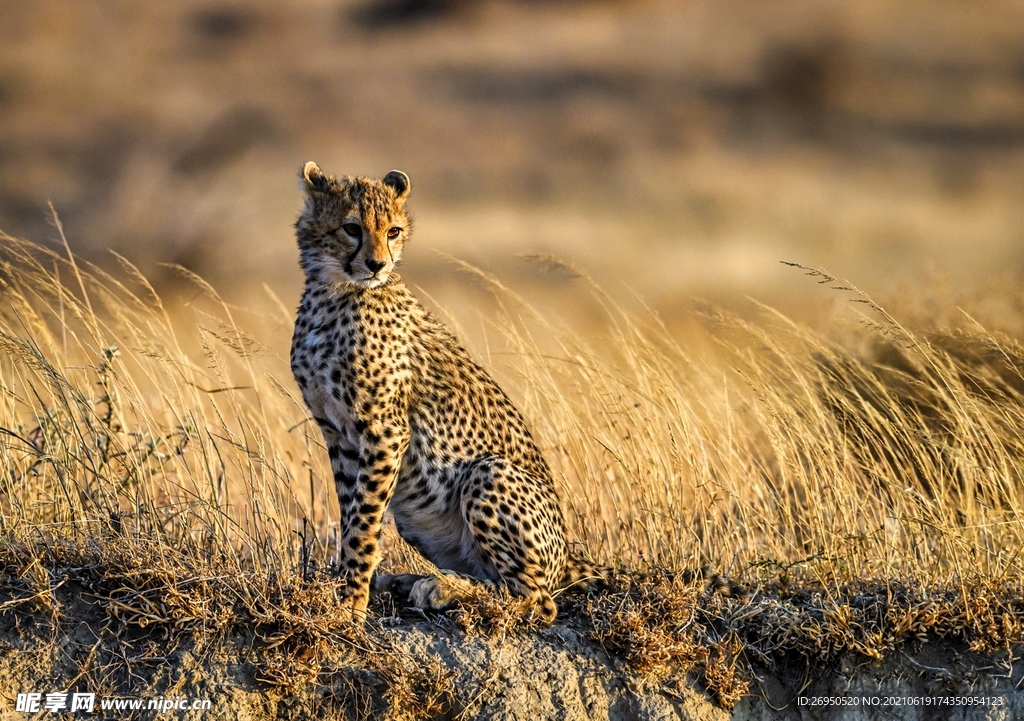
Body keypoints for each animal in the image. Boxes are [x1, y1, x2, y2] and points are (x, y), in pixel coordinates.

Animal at [290, 163, 598, 626]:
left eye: (394, 230)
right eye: (351, 228)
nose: (377, 264)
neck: (335, 290)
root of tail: (567, 556)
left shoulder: (385, 431)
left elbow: (364, 523)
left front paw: (352, 601)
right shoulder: (337, 432)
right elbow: (350, 514)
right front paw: (347, 584)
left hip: (488, 473)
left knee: (537, 601)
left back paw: (441, 588)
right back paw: (407, 581)